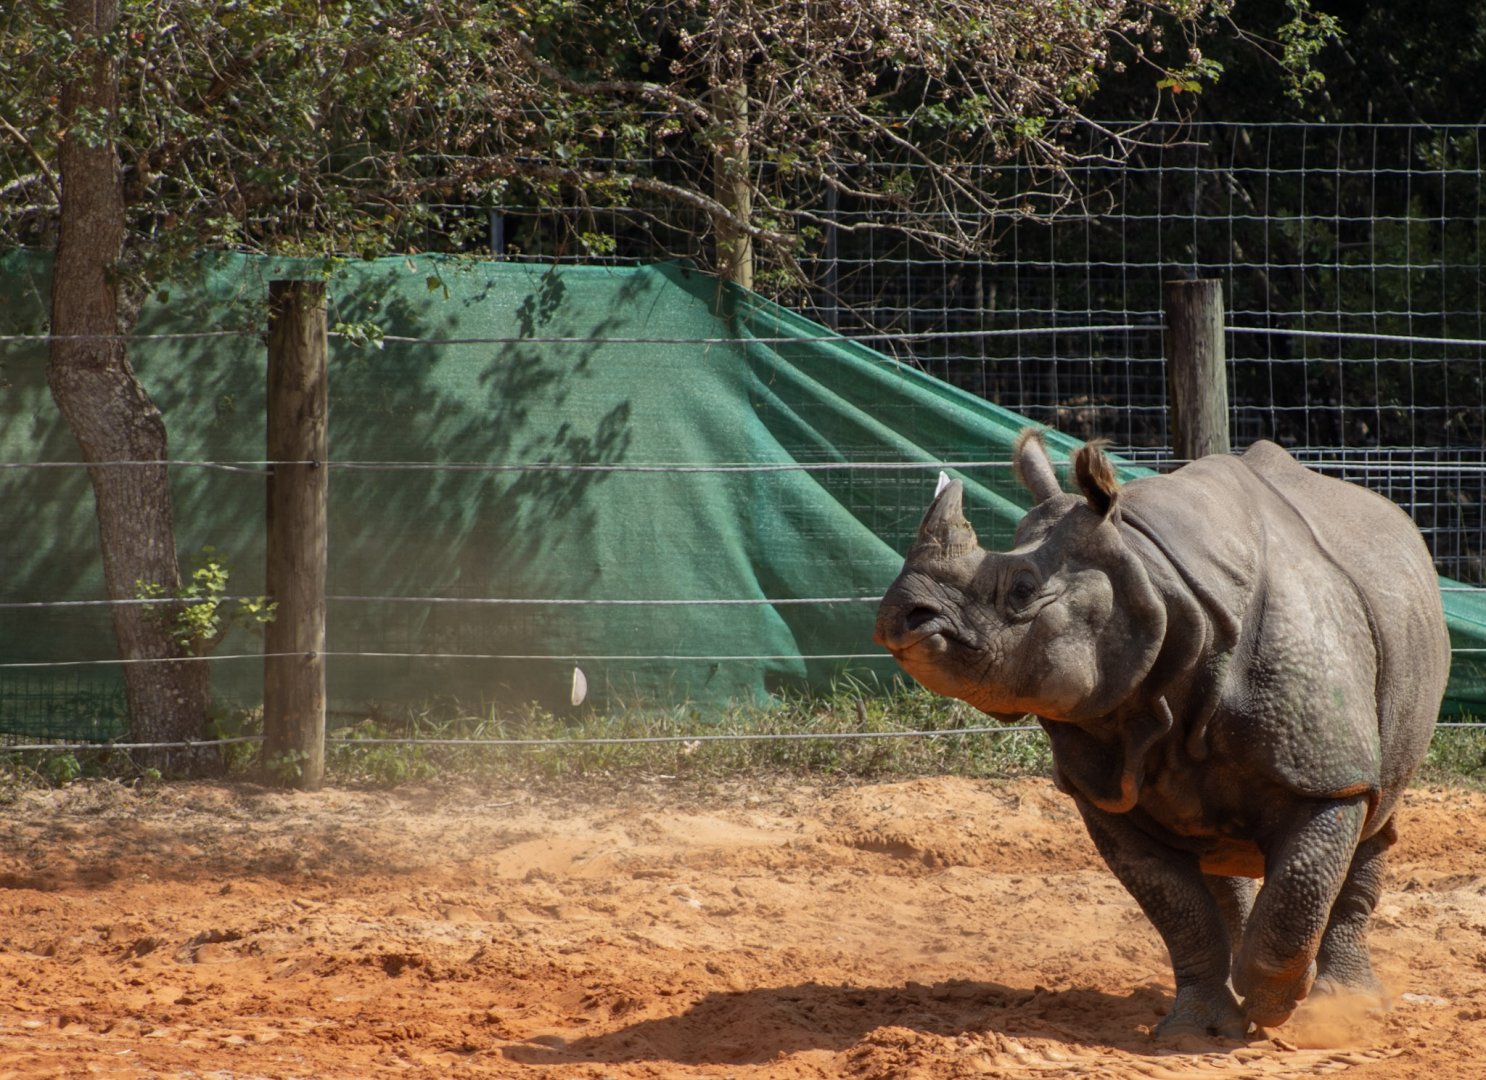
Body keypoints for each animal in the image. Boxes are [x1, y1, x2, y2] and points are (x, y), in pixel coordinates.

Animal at [874, 431, 1450, 1038]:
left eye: (1023, 591)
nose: (901, 616)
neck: (1153, 579)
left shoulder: (1325, 773)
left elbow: (1304, 877)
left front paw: (1277, 1005)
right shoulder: (1105, 786)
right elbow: (1178, 910)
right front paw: (1199, 1033)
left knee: (1375, 814)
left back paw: (1347, 1004)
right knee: (1220, 851)